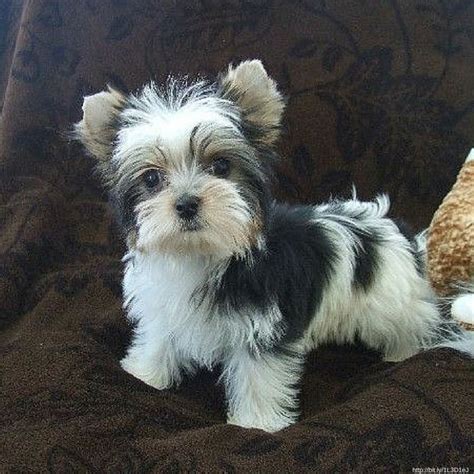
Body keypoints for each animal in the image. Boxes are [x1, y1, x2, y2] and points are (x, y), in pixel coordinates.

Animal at [76, 60, 472, 434]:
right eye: (151, 179)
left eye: (221, 165)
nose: (187, 203)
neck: (202, 254)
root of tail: (394, 230)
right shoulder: (163, 306)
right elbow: (158, 338)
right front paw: (144, 374)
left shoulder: (261, 326)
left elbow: (258, 375)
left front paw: (257, 423)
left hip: (391, 298)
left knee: (413, 320)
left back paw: (404, 352)